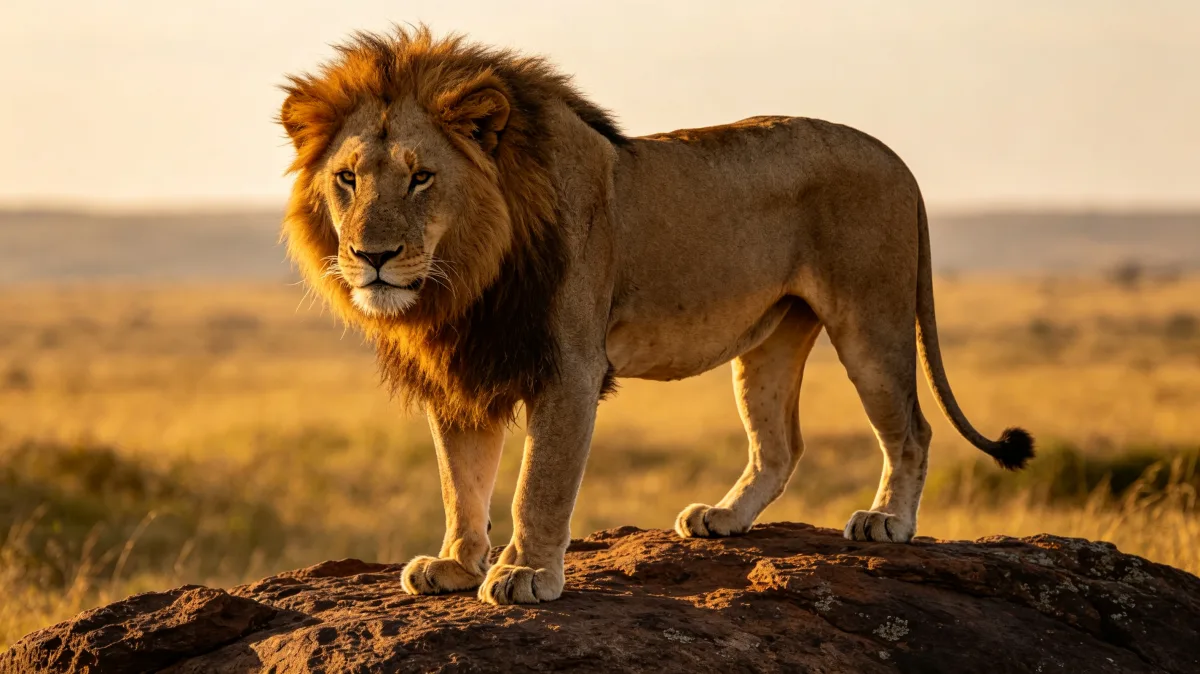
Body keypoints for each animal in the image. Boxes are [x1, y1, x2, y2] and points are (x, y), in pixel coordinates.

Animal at [278, 27, 1034, 606]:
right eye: (347, 179)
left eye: (421, 177)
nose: (372, 257)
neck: (465, 278)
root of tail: (896, 158)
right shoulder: (462, 369)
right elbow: (460, 482)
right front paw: (459, 565)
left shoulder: (570, 367)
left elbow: (538, 484)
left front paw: (524, 573)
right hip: (769, 341)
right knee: (780, 446)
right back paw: (724, 517)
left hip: (871, 321)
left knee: (912, 429)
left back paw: (886, 521)